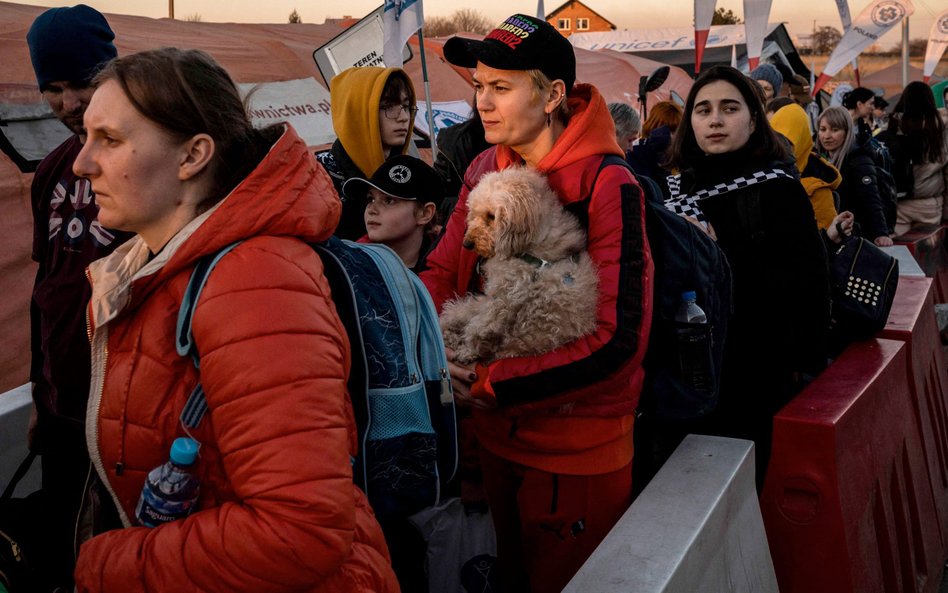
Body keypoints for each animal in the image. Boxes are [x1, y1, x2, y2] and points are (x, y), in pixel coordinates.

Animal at [438, 164, 600, 364]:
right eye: (473, 213)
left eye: (491, 216)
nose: (467, 244)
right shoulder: (496, 295)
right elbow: (467, 313)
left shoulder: (504, 298)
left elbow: (478, 328)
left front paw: (466, 351)